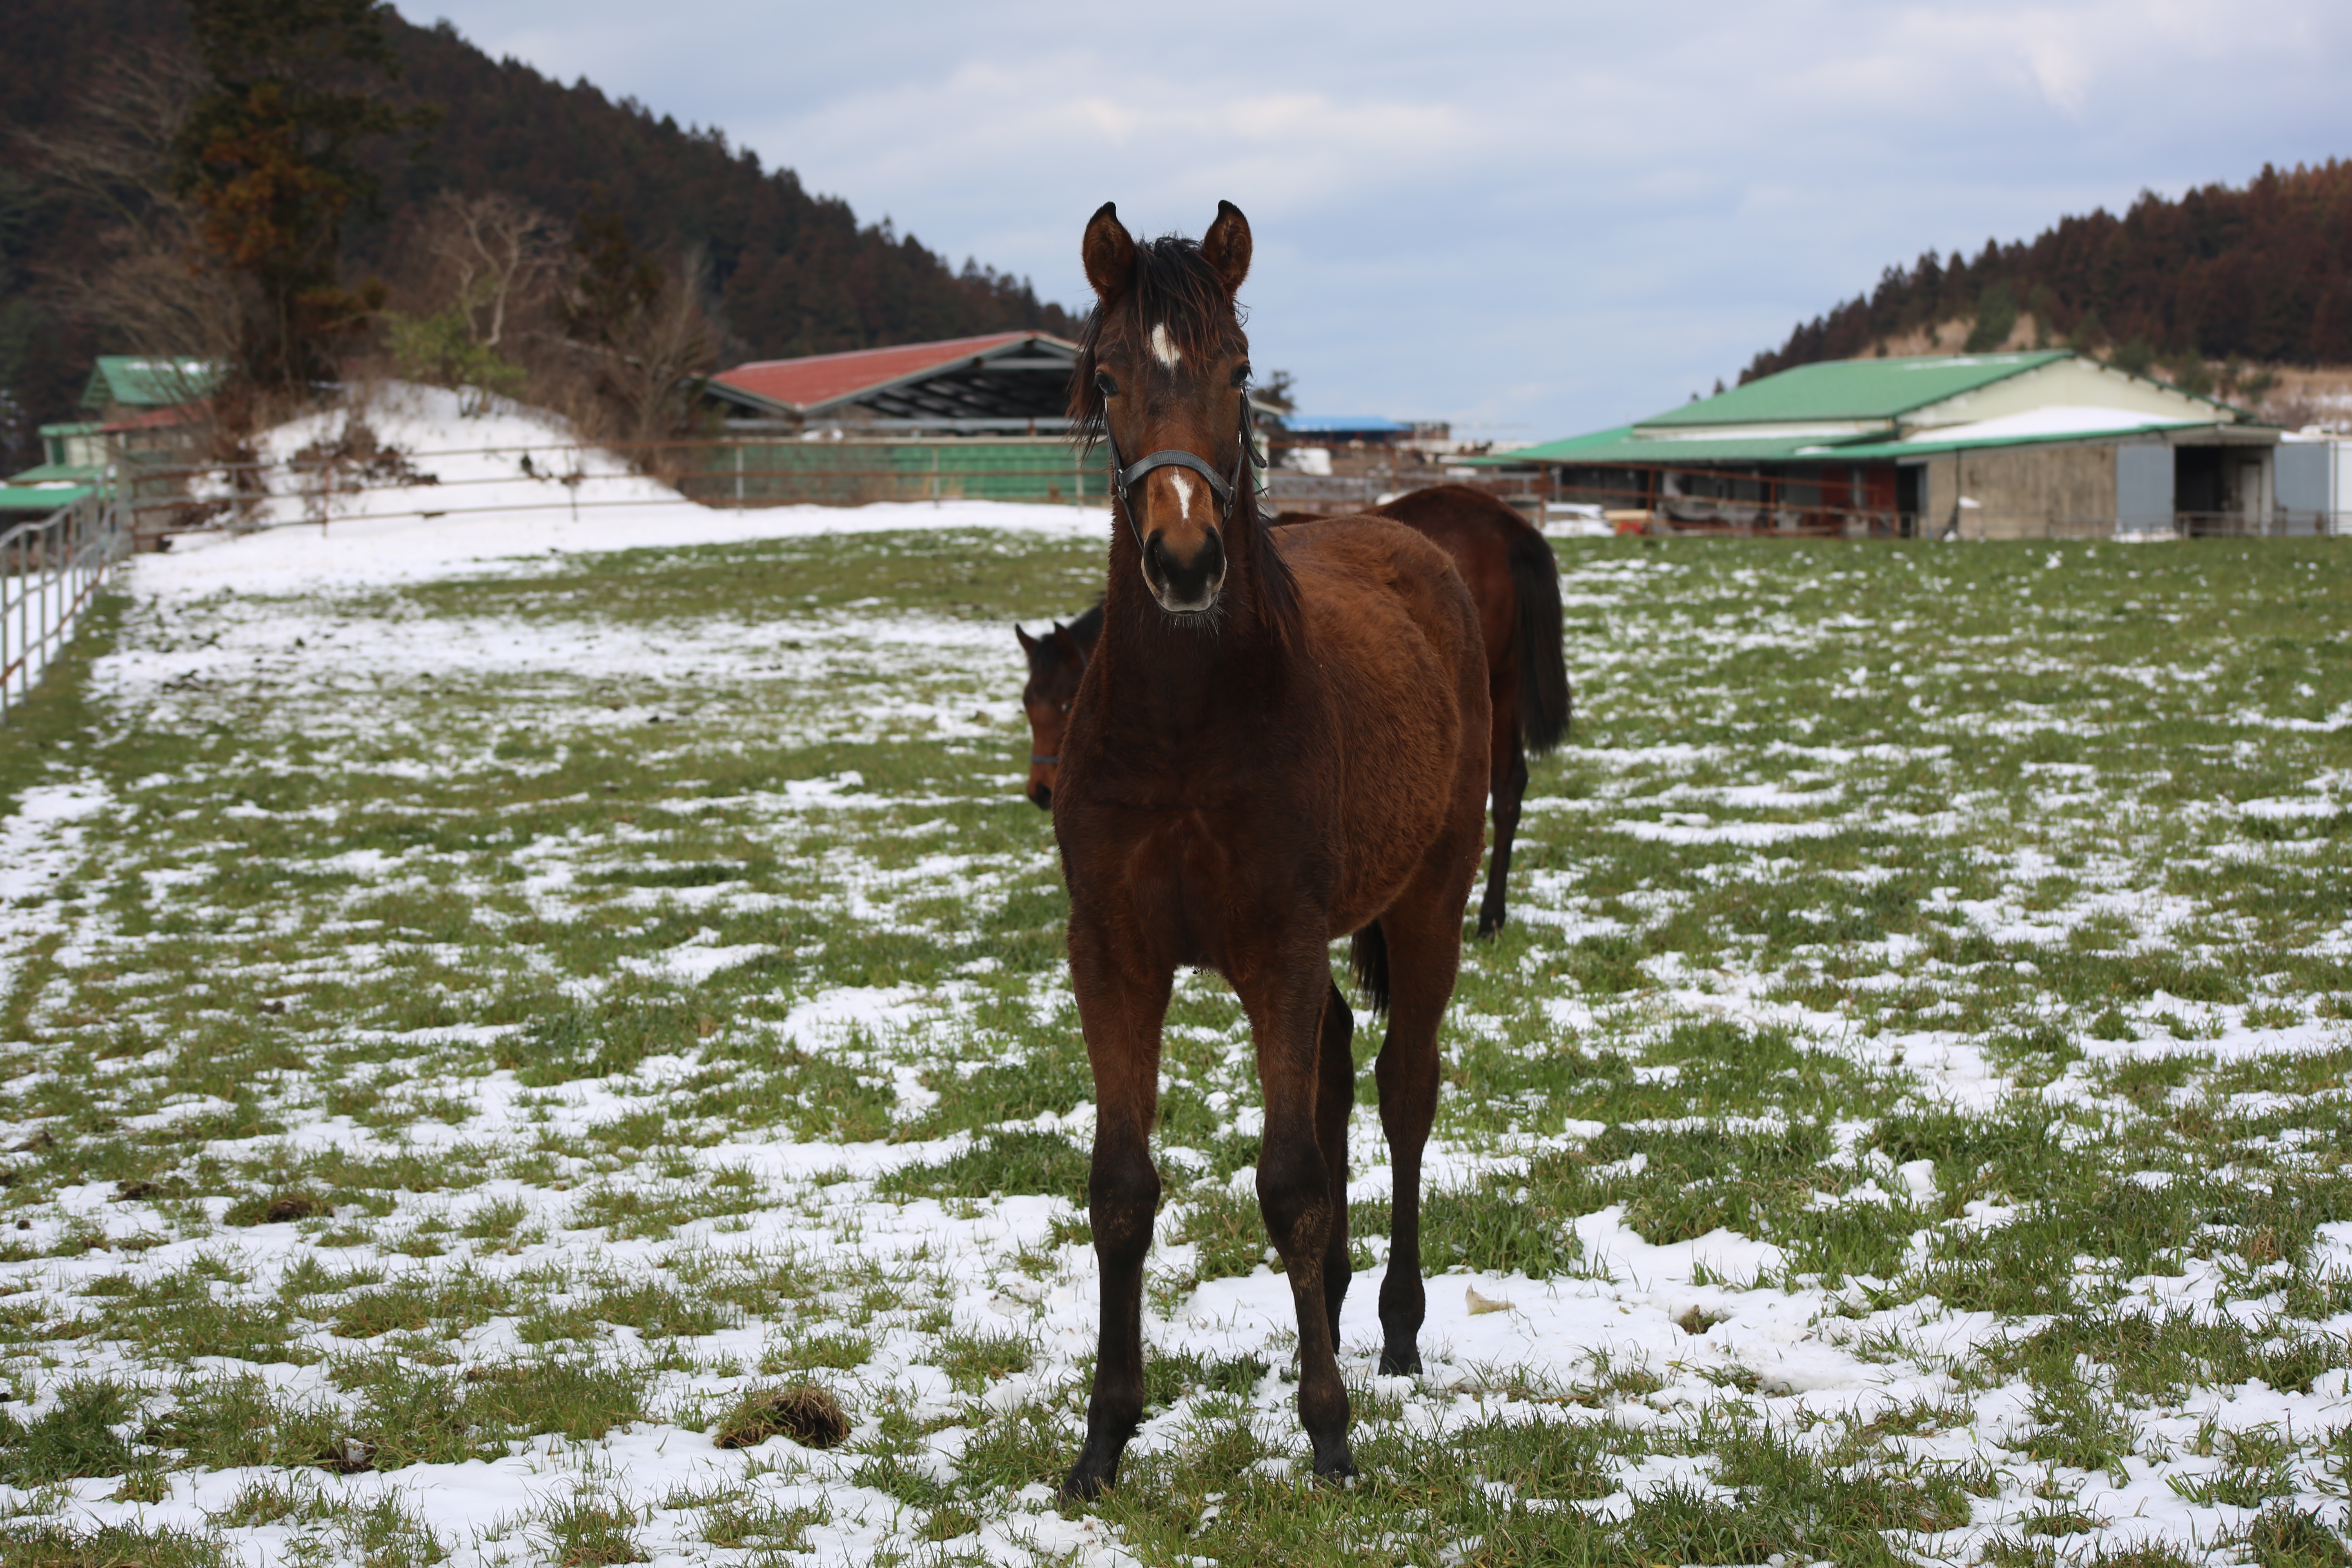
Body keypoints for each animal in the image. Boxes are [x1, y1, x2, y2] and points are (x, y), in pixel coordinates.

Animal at [1054, 200, 1486, 1495]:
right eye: (1107, 377)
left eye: (1241, 372)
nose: (1185, 561)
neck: (1185, 724)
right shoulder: (1115, 956)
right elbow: (1121, 1188)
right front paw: (1104, 1437)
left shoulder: (1277, 950)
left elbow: (1289, 1179)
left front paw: (1329, 1431)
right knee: (1342, 1065)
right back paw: (1331, 1309)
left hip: (1428, 902)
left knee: (1401, 1091)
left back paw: (1390, 1329)